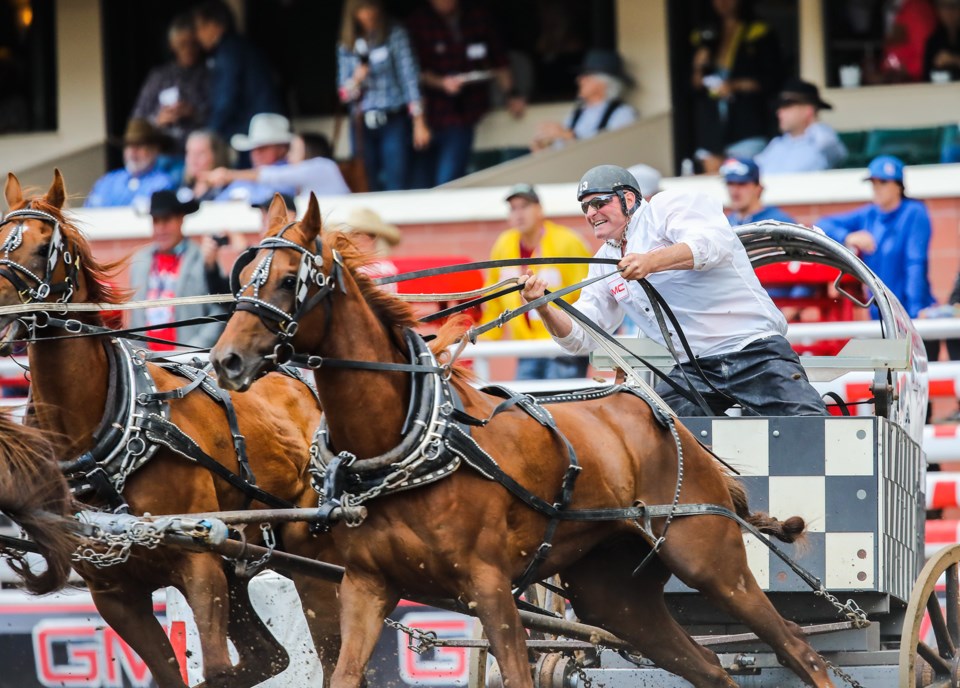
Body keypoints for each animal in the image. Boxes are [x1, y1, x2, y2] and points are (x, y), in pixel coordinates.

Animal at [0, 172, 344, 688]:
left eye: (44, 248)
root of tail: (300, 378)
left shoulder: (198, 563)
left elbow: (218, 670)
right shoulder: (115, 593)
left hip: (311, 558)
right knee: (270, 656)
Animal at [212, 194, 840, 688]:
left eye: (289, 280)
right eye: (241, 282)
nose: (226, 360)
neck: (412, 443)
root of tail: (669, 420)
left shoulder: (489, 586)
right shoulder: (368, 586)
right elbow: (343, 675)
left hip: (710, 559)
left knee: (800, 651)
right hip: (616, 595)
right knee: (711, 671)